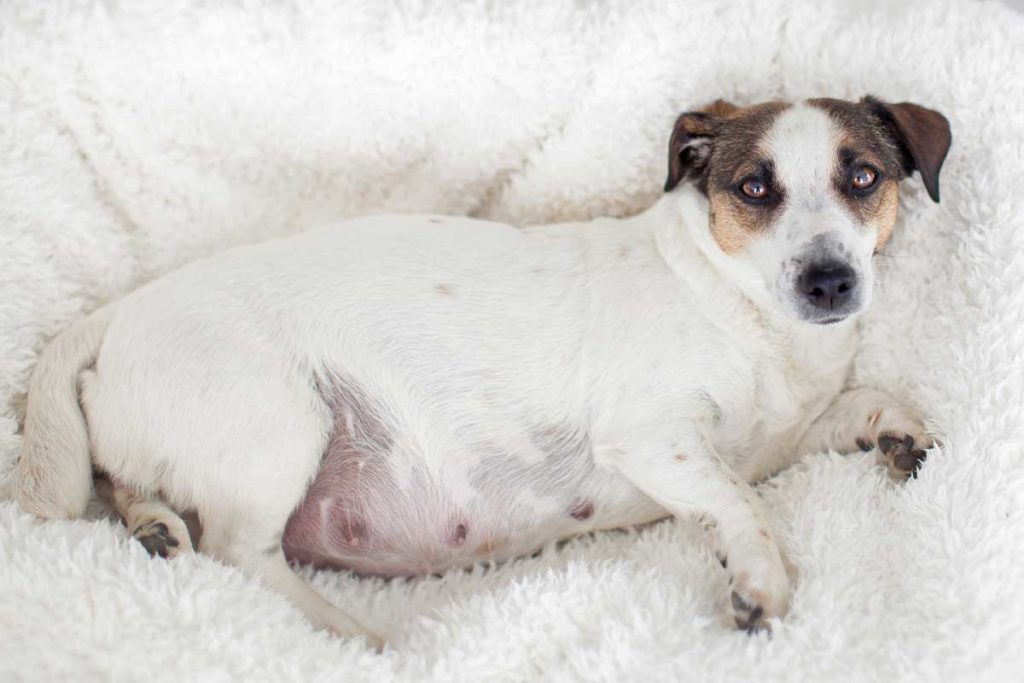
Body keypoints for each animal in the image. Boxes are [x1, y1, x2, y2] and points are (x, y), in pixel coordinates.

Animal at [12, 96, 950, 647]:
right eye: (755, 188)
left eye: (863, 176)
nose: (828, 280)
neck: (748, 314)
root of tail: (115, 314)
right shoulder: (658, 440)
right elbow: (742, 503)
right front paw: (759, 578)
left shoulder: (784, 432)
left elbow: (857, 405)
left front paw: (896, 429)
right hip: (280, 425)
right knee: (239, 549)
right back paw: (347, 633)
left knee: (132, 481)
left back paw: (152, 526)